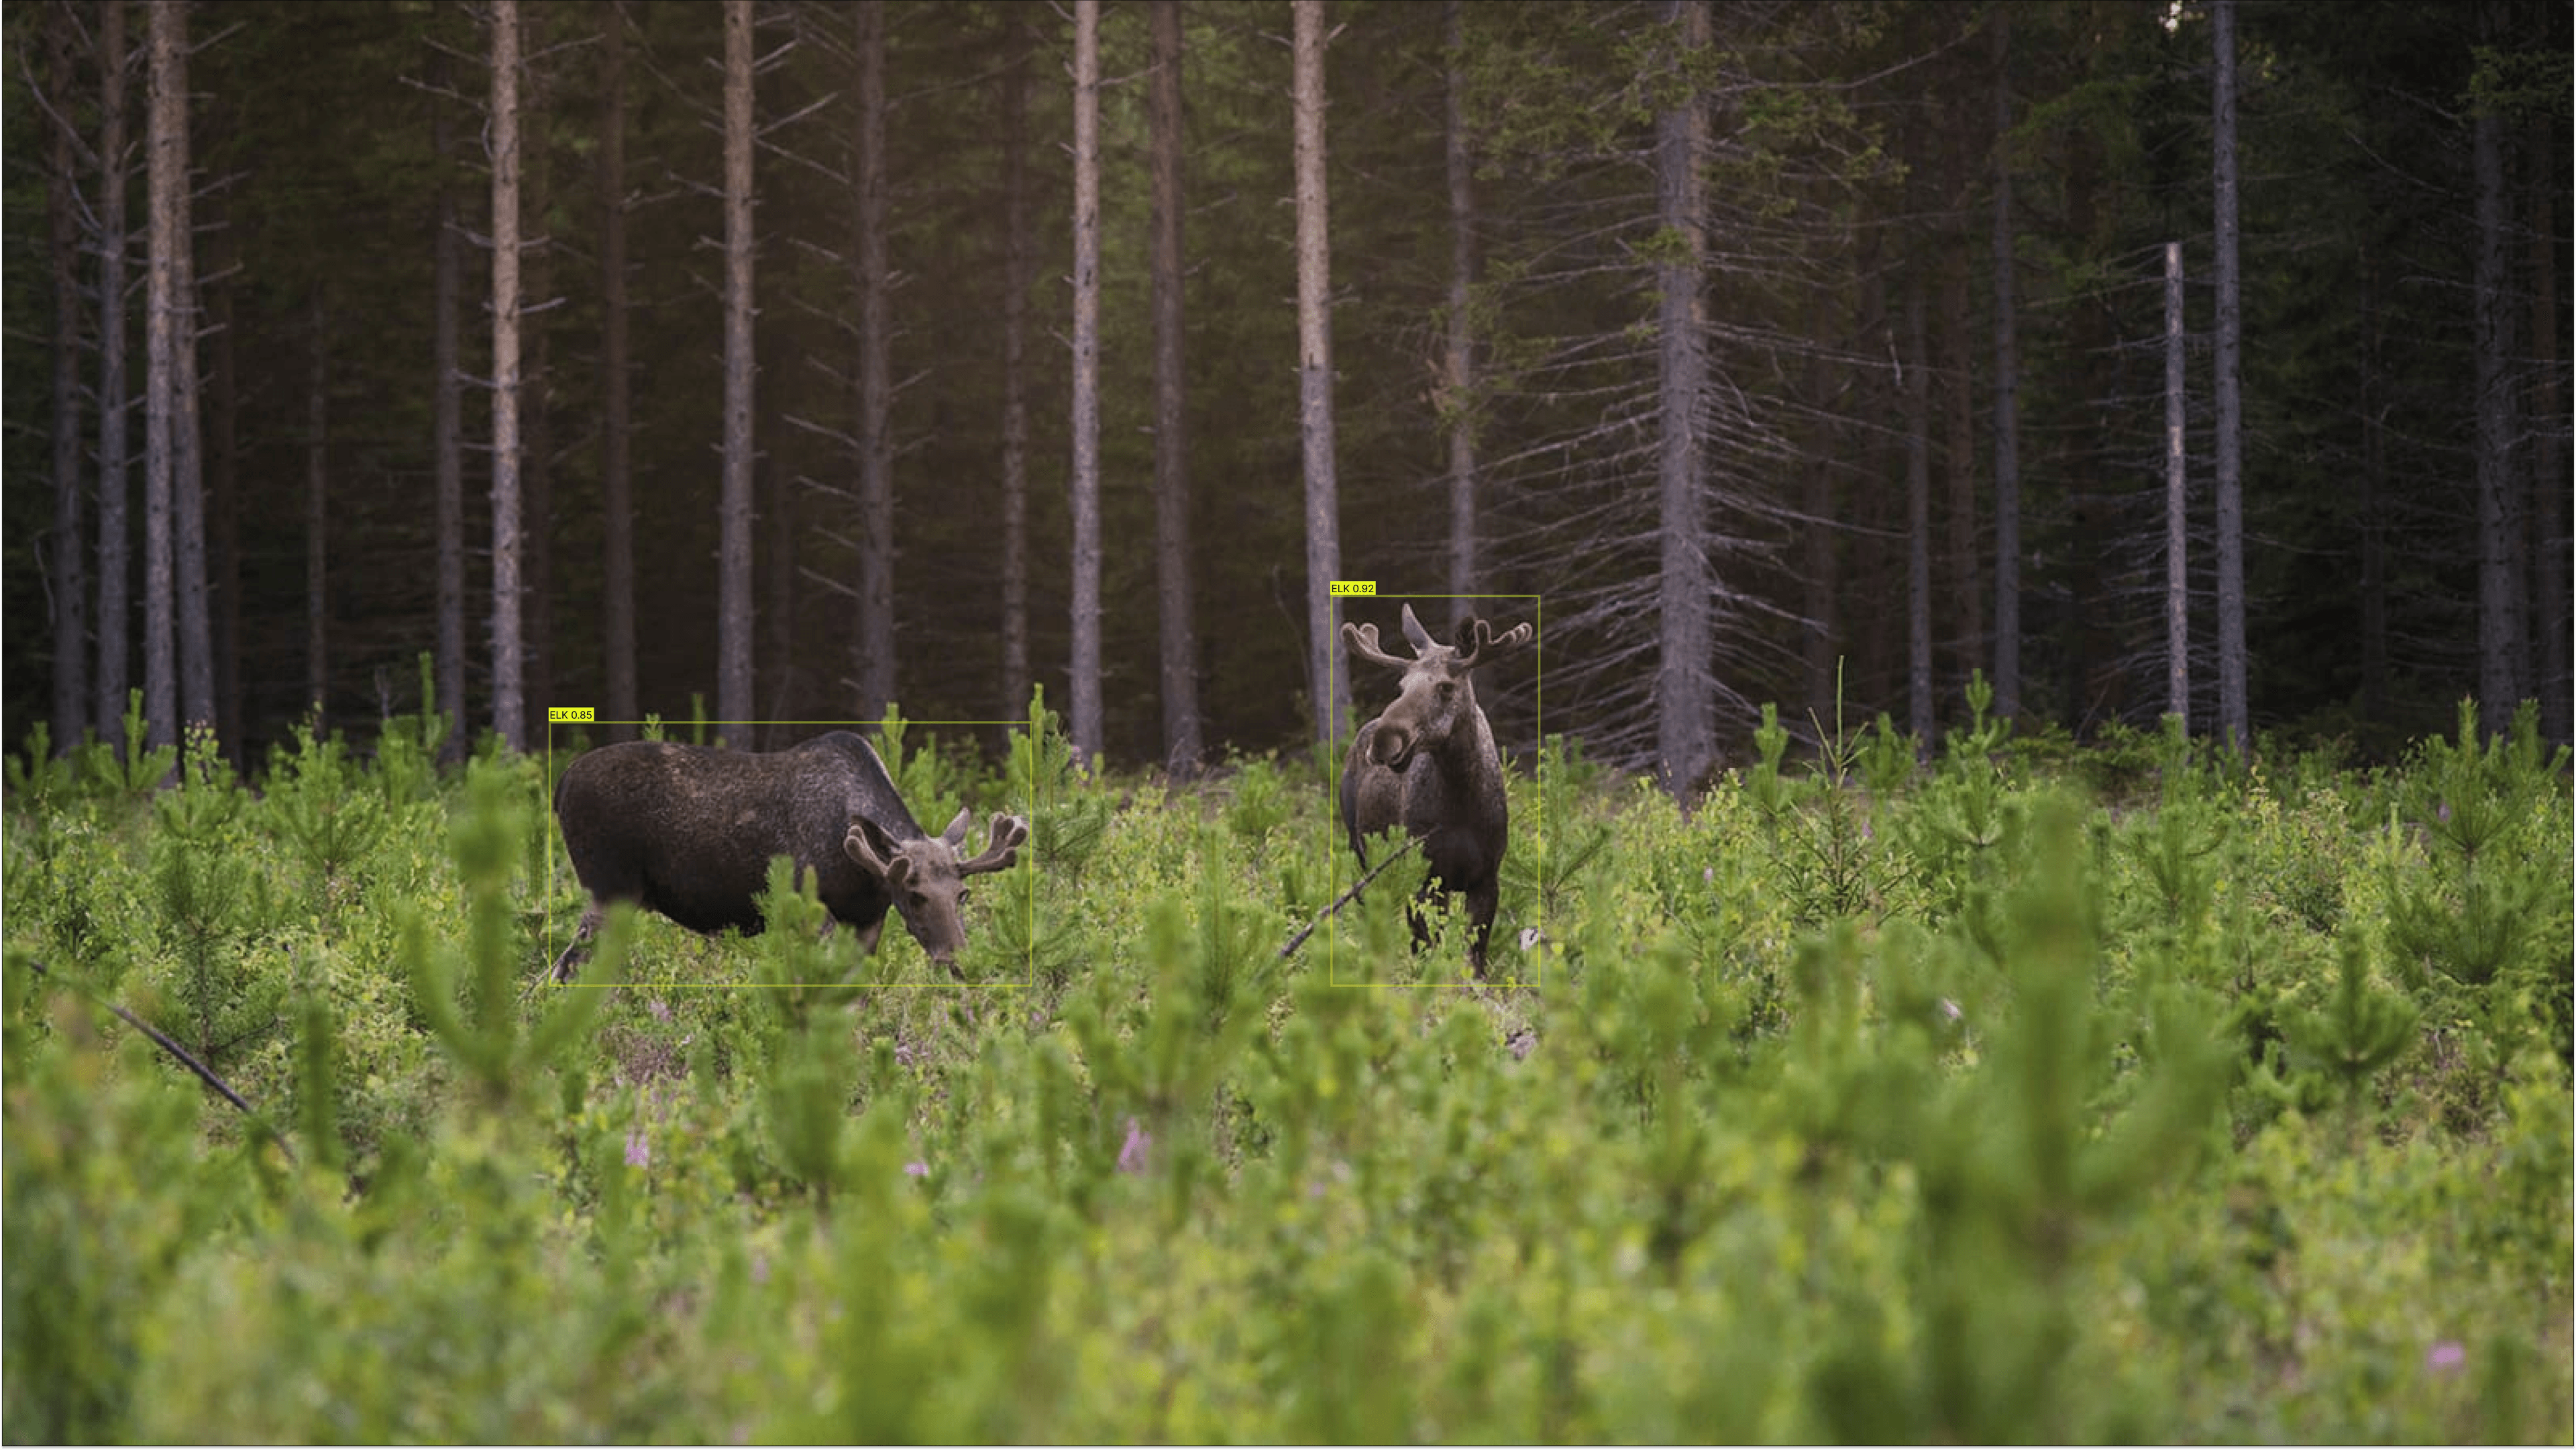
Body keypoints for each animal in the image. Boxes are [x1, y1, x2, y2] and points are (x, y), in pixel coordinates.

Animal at [546, 731, 1025, 983]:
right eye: (914, 894)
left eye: (962, 894)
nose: (960, 963)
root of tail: (561, 783)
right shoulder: (812, 910)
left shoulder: (867, 920)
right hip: (609, 888)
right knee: (567, 966)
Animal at [1339, 602, 1535, 973]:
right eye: (1401, 685)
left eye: (1446, 687)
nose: (1383, 741)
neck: (1461, 801)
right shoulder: (1427, 877)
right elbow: (1429, 949)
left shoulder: (1486, 878)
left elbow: (1474, 957)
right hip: (1362, 853)